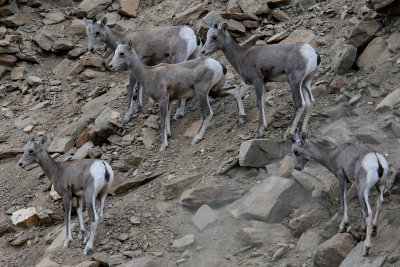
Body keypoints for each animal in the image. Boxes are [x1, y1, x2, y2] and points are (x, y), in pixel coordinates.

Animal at [109, 40, 245, 152]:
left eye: (121, 53)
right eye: (115, 52)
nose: (111, 66)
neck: (149, 74)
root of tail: (218, 66)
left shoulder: (163, 101)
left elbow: (163, 122)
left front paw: (163, 146)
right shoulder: (169, 101)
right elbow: (167, 118)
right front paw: (168, 136)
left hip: (202, 93)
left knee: (207, 113)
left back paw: (196, 138)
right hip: (215, 90)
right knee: (235, 90)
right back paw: (242, 118)